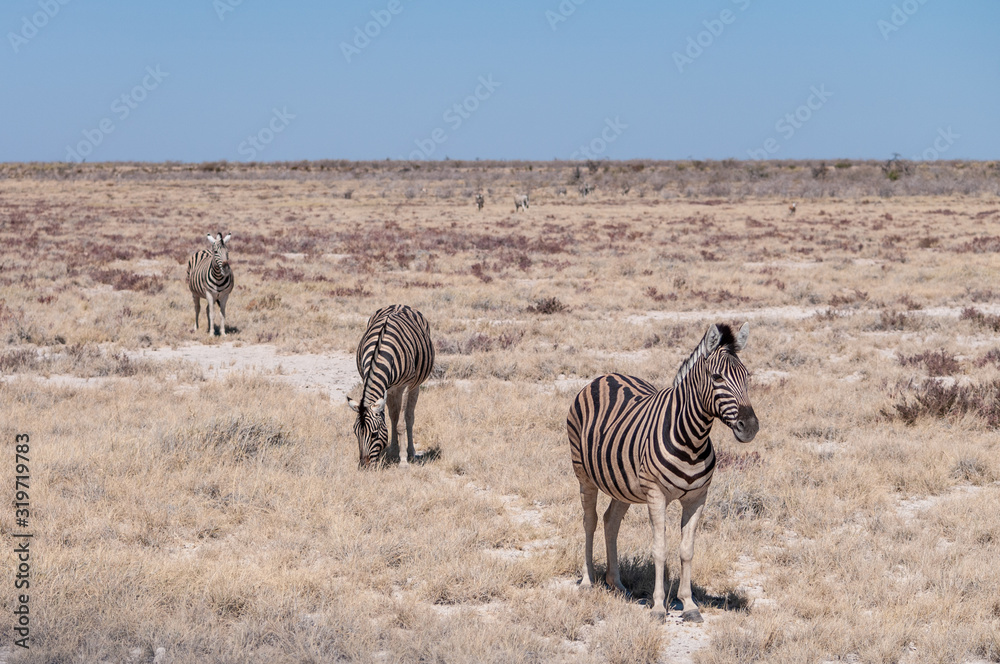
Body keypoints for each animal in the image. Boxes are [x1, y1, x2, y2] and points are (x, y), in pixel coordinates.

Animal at [347, 304, 435, 468]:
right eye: (356, 432)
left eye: (374, 434)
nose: (363, 466)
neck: (380, 355)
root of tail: (400, 305)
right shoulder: (383, 386)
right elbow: (392, 418)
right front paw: (394, 452)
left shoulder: (405, 386)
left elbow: (401, 423)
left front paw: (403, 461)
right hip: (393, 389)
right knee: (394, 415)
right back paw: (394, 450)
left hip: (414, 386)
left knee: (409, 417)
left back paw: (411, 452)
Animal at [567, 323, 759, 623]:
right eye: (717, 377)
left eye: (747, 376)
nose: (749, 427)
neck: (692, 438)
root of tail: (606, 375)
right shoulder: (656, 495)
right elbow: (659, 549)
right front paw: (658, 606)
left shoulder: (697, 498)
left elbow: (687, 550)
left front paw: (689, 604)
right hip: (583, 474)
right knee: (590, 521)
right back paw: (588, 581)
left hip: (622, 482)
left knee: (611, 521)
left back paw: (616, 583)